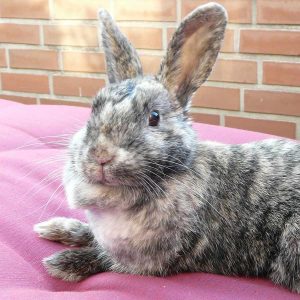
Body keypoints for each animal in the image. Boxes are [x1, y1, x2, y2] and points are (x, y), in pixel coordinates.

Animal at [32, 1, 300, 292]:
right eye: (94, 109)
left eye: (154, 117)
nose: (101, 155)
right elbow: (90, 234)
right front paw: (55, 228)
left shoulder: (151, 261)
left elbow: (106, 258)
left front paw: (63, 263)